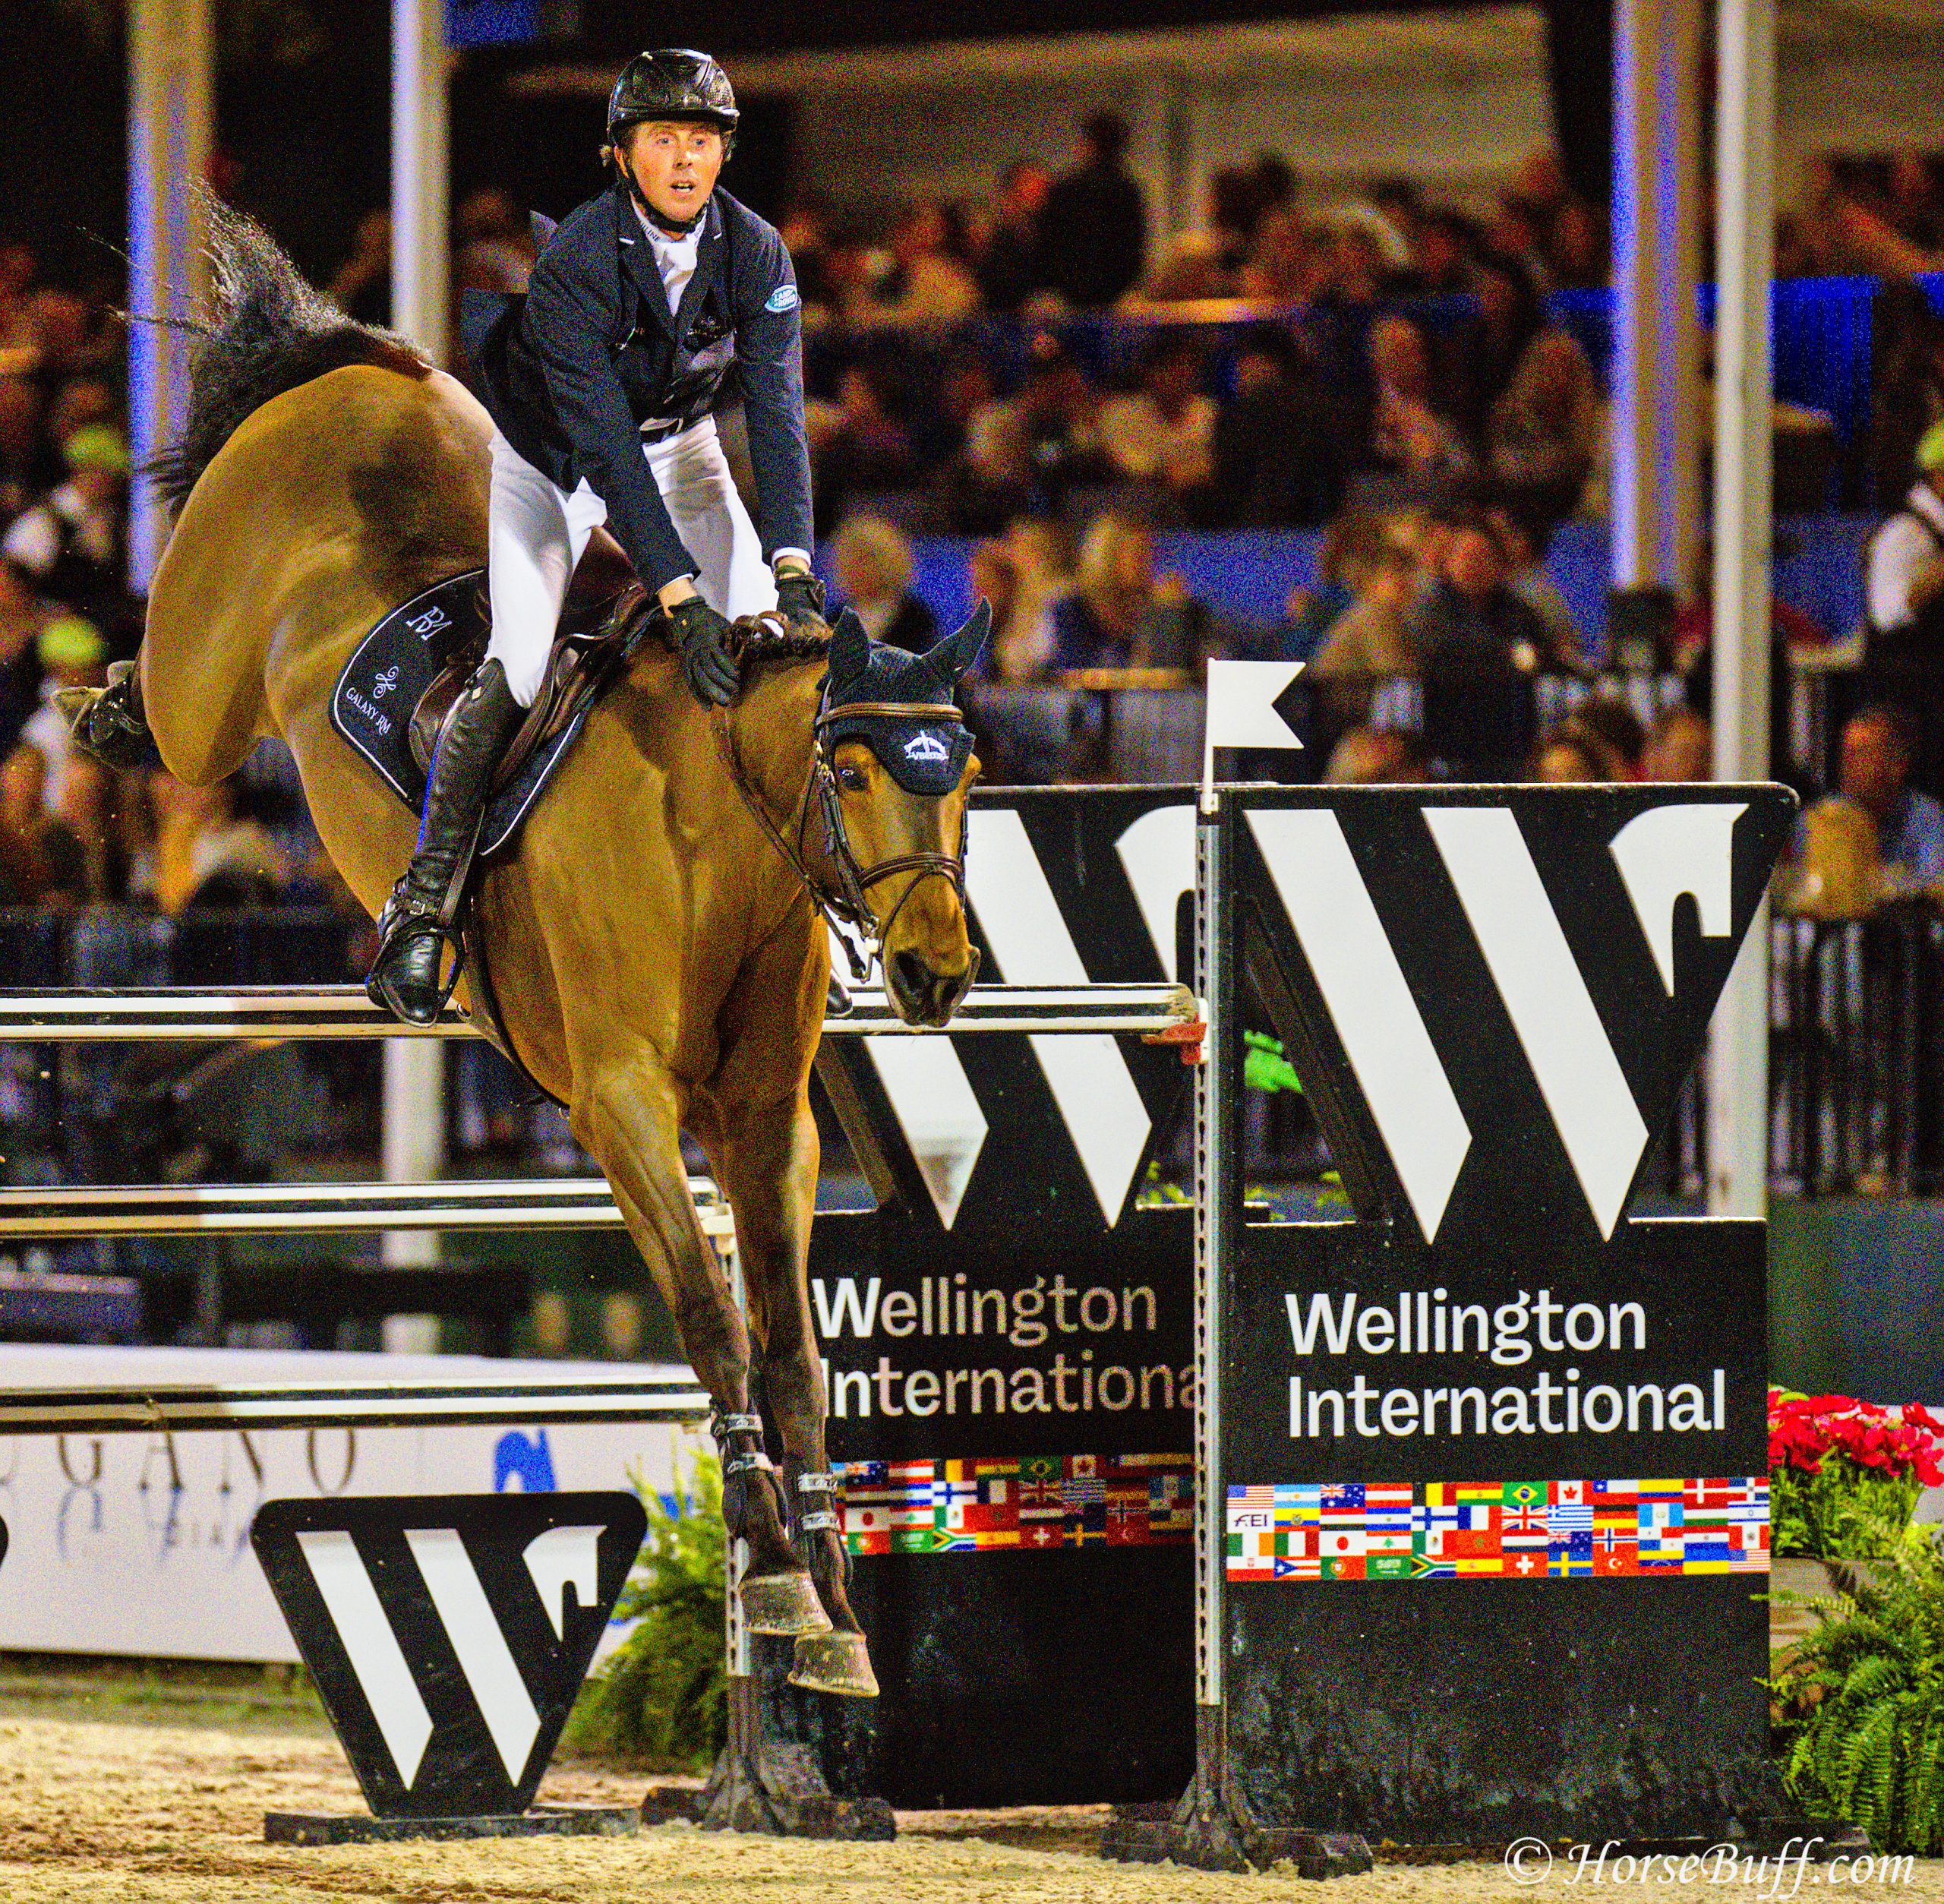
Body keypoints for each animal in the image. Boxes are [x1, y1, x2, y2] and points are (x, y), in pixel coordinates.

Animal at [79, 208, 987, 1695]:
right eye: (850, 772)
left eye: (962, 771)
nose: (937, 973)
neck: (721, 838)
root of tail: (354, 371)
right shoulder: (621, 1105)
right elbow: (712, 1321)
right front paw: (771, 1571)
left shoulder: (766, 1121)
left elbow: (792, 1348)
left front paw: (833, 1607)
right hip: (206, 690)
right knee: (172, 709)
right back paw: (101, 710)